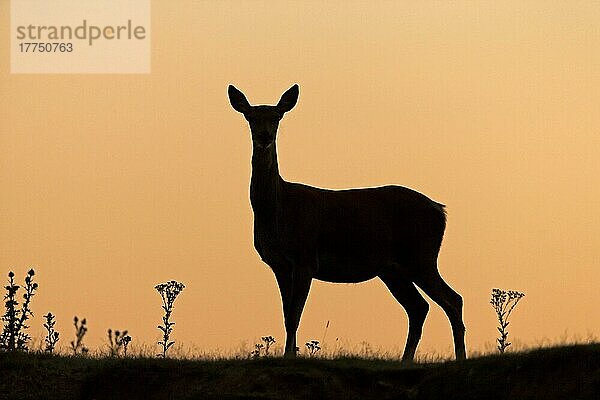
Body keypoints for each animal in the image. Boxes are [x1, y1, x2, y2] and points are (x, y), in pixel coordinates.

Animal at [227, 83, 466, 360]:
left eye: (277, 116)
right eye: (250, 116)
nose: (264, 136)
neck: (279, 209)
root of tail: (440, 210)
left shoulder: (305, 257)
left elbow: (295, 314)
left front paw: (289, 357)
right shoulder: (279, 264)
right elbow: (287, 315)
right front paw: (289, 355)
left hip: (421, 255)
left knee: (452, 299)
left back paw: (459, 357)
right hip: (392, 268)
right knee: (419, 307)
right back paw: (406, 360)